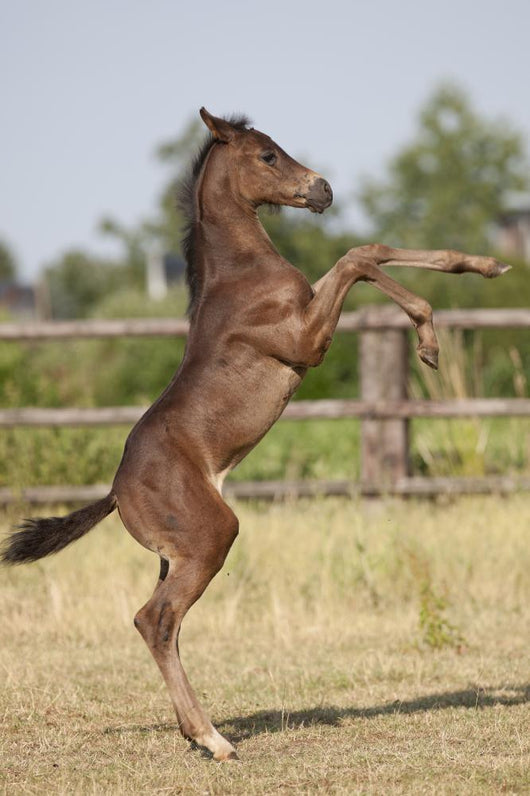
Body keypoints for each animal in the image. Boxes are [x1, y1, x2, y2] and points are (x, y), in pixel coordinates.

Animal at [1, 108, 509, 761]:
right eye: (267, 155)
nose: (323, 190)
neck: (242, 274)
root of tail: (115, 491)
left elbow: (369, 249)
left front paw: (485, 265)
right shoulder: (305, 342)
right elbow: (357, 258)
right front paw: (427, 336)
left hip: (175, 555)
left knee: (164, 622)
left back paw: (194, 733)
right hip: (213, 534)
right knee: (155, 620)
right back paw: (214, 739)